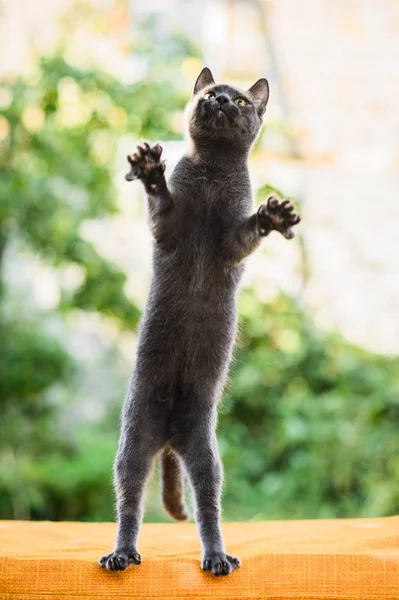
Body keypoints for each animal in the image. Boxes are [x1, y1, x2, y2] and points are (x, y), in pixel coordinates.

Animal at [99, 67, 300, 576]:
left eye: (242, 101)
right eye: (209, 93)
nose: (223, 101)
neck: (211, 174)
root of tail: (171, 436)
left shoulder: (231, 240)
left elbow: (248, 233)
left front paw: (274, 216)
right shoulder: (169, 227)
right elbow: (161, 204)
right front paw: (150, 170)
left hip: (206, 455)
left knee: (208, 507)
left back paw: (217, 557)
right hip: (134, 439)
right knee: (129, 501)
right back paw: (122, 553)